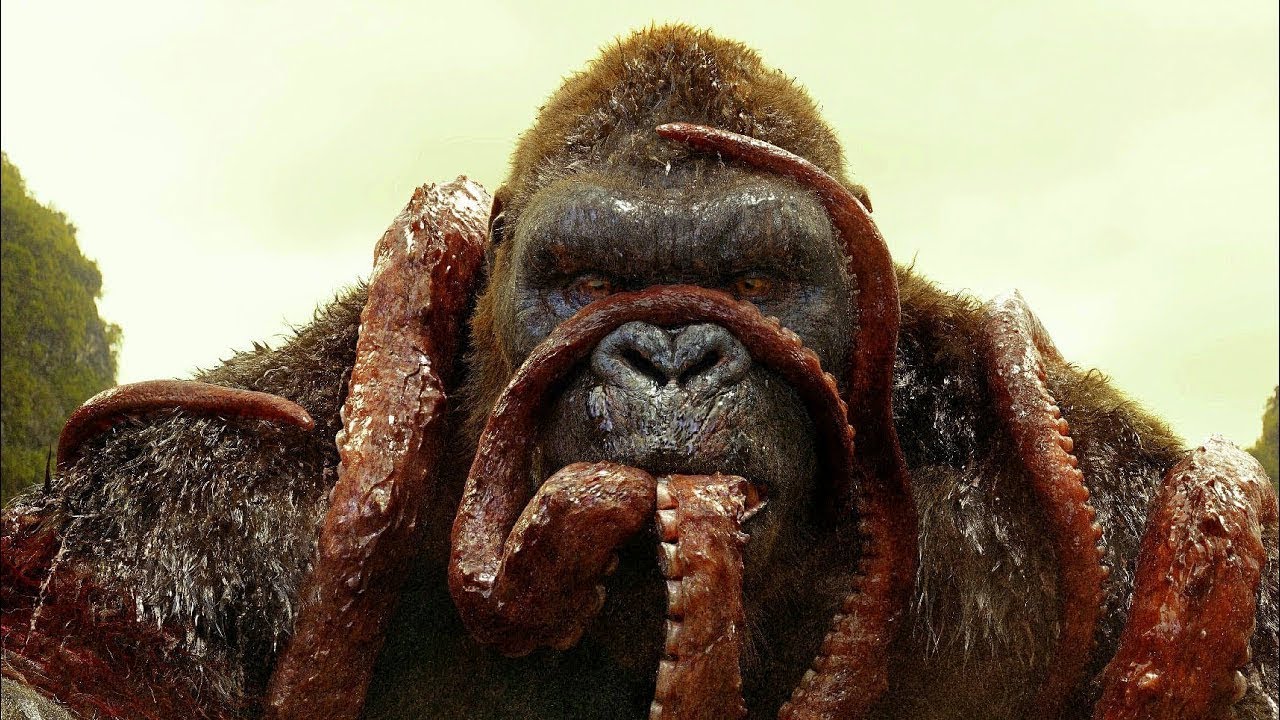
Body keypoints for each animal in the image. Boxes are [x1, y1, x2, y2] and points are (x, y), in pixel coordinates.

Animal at [2, 24, 1276, 720]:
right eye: (589, 279)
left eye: (757, 280)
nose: (671, 352)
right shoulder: (194, 506)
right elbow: (70, 659)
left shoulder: (1120, 499)